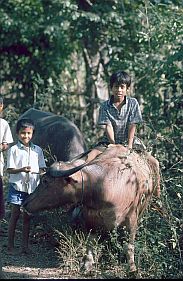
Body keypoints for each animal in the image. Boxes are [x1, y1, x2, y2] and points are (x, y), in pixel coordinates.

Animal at [22, 144, 160, 272]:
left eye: (45, 181)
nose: (25, 203)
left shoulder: (132, 219)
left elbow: (129, 246)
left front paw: (132, 268)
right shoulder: (90, 218)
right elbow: (90, 241)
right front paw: (87, 264)